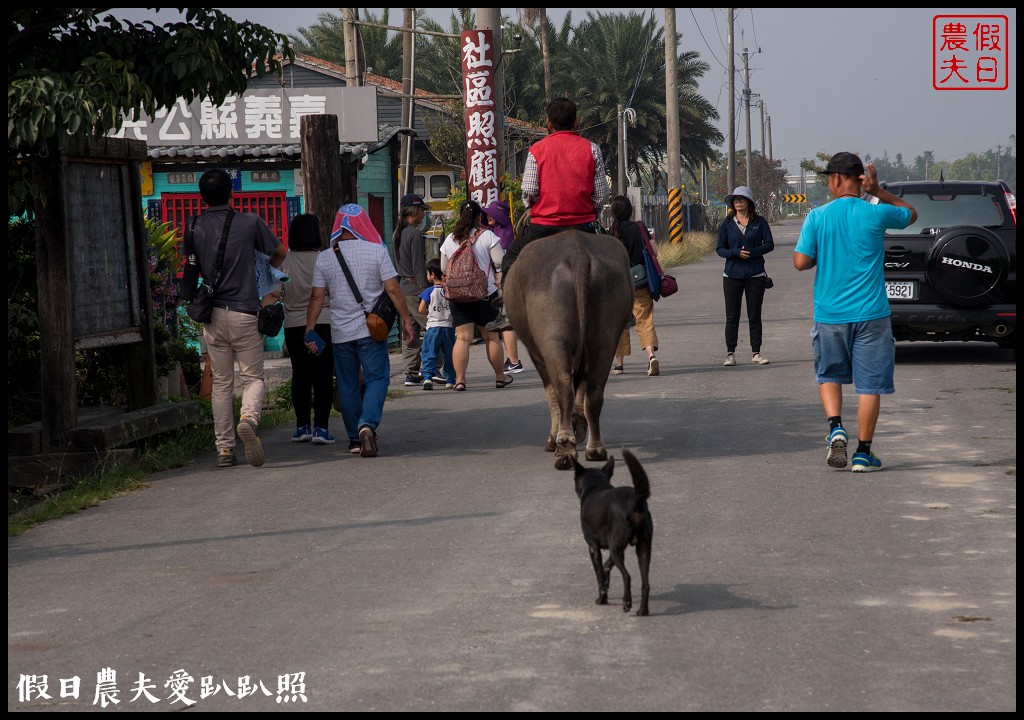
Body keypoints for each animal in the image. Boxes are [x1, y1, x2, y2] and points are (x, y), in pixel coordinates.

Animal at [501, 228, 634, 471]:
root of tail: (577, 255)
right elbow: (581, 385)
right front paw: (578, 423)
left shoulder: (536, 354)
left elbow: (551, 392)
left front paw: (553, 439)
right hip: (605, 337)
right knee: (594, 392)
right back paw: (595, 448)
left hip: (553, 339)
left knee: (562, 386)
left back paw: (563, 447)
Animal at [573, 450, 651, 614]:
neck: (596, 486)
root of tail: (635, 500)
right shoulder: (615, 547)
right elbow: (607, 566)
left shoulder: (593, 547)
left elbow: (599, 576)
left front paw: (602, 599)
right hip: (643, 548)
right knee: (645, 583)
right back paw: (642, 611)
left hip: (618, 548)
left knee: (627, 576)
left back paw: (626, 602)